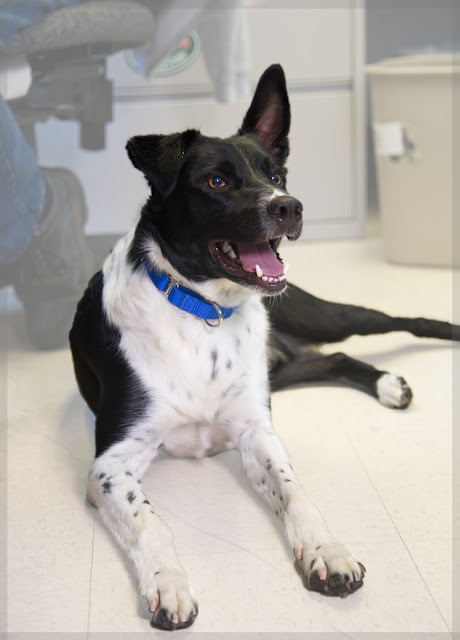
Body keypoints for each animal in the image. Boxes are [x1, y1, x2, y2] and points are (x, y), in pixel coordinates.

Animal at [70, 64, 460, 631]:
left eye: (277, 176)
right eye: (216, 181)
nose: (290, 207)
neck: (204, 311)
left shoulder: (257, 432)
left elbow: (296, 493)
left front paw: (327, 550)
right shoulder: (110, 464)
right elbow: (151, 522)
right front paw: (168, 583)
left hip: (323, 317)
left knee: (397, 322)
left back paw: (410, 364)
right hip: (286, 366)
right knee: (335, 358)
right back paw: (387, 384)